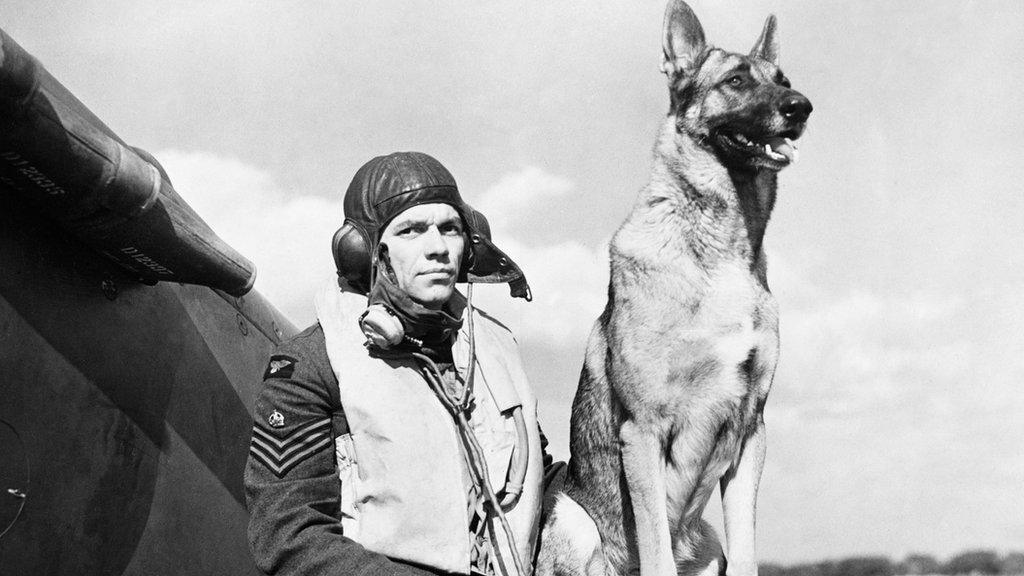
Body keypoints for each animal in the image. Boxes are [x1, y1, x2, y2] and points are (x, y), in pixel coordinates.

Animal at [536, 3, 806, 573]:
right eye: (735, 81)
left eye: (783, 80)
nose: (802, 107)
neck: (720, 251)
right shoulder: (643, 431)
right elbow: (657, 549)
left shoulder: (751, 433)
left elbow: (747, 552)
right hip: (574, 521)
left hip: (707, 542)